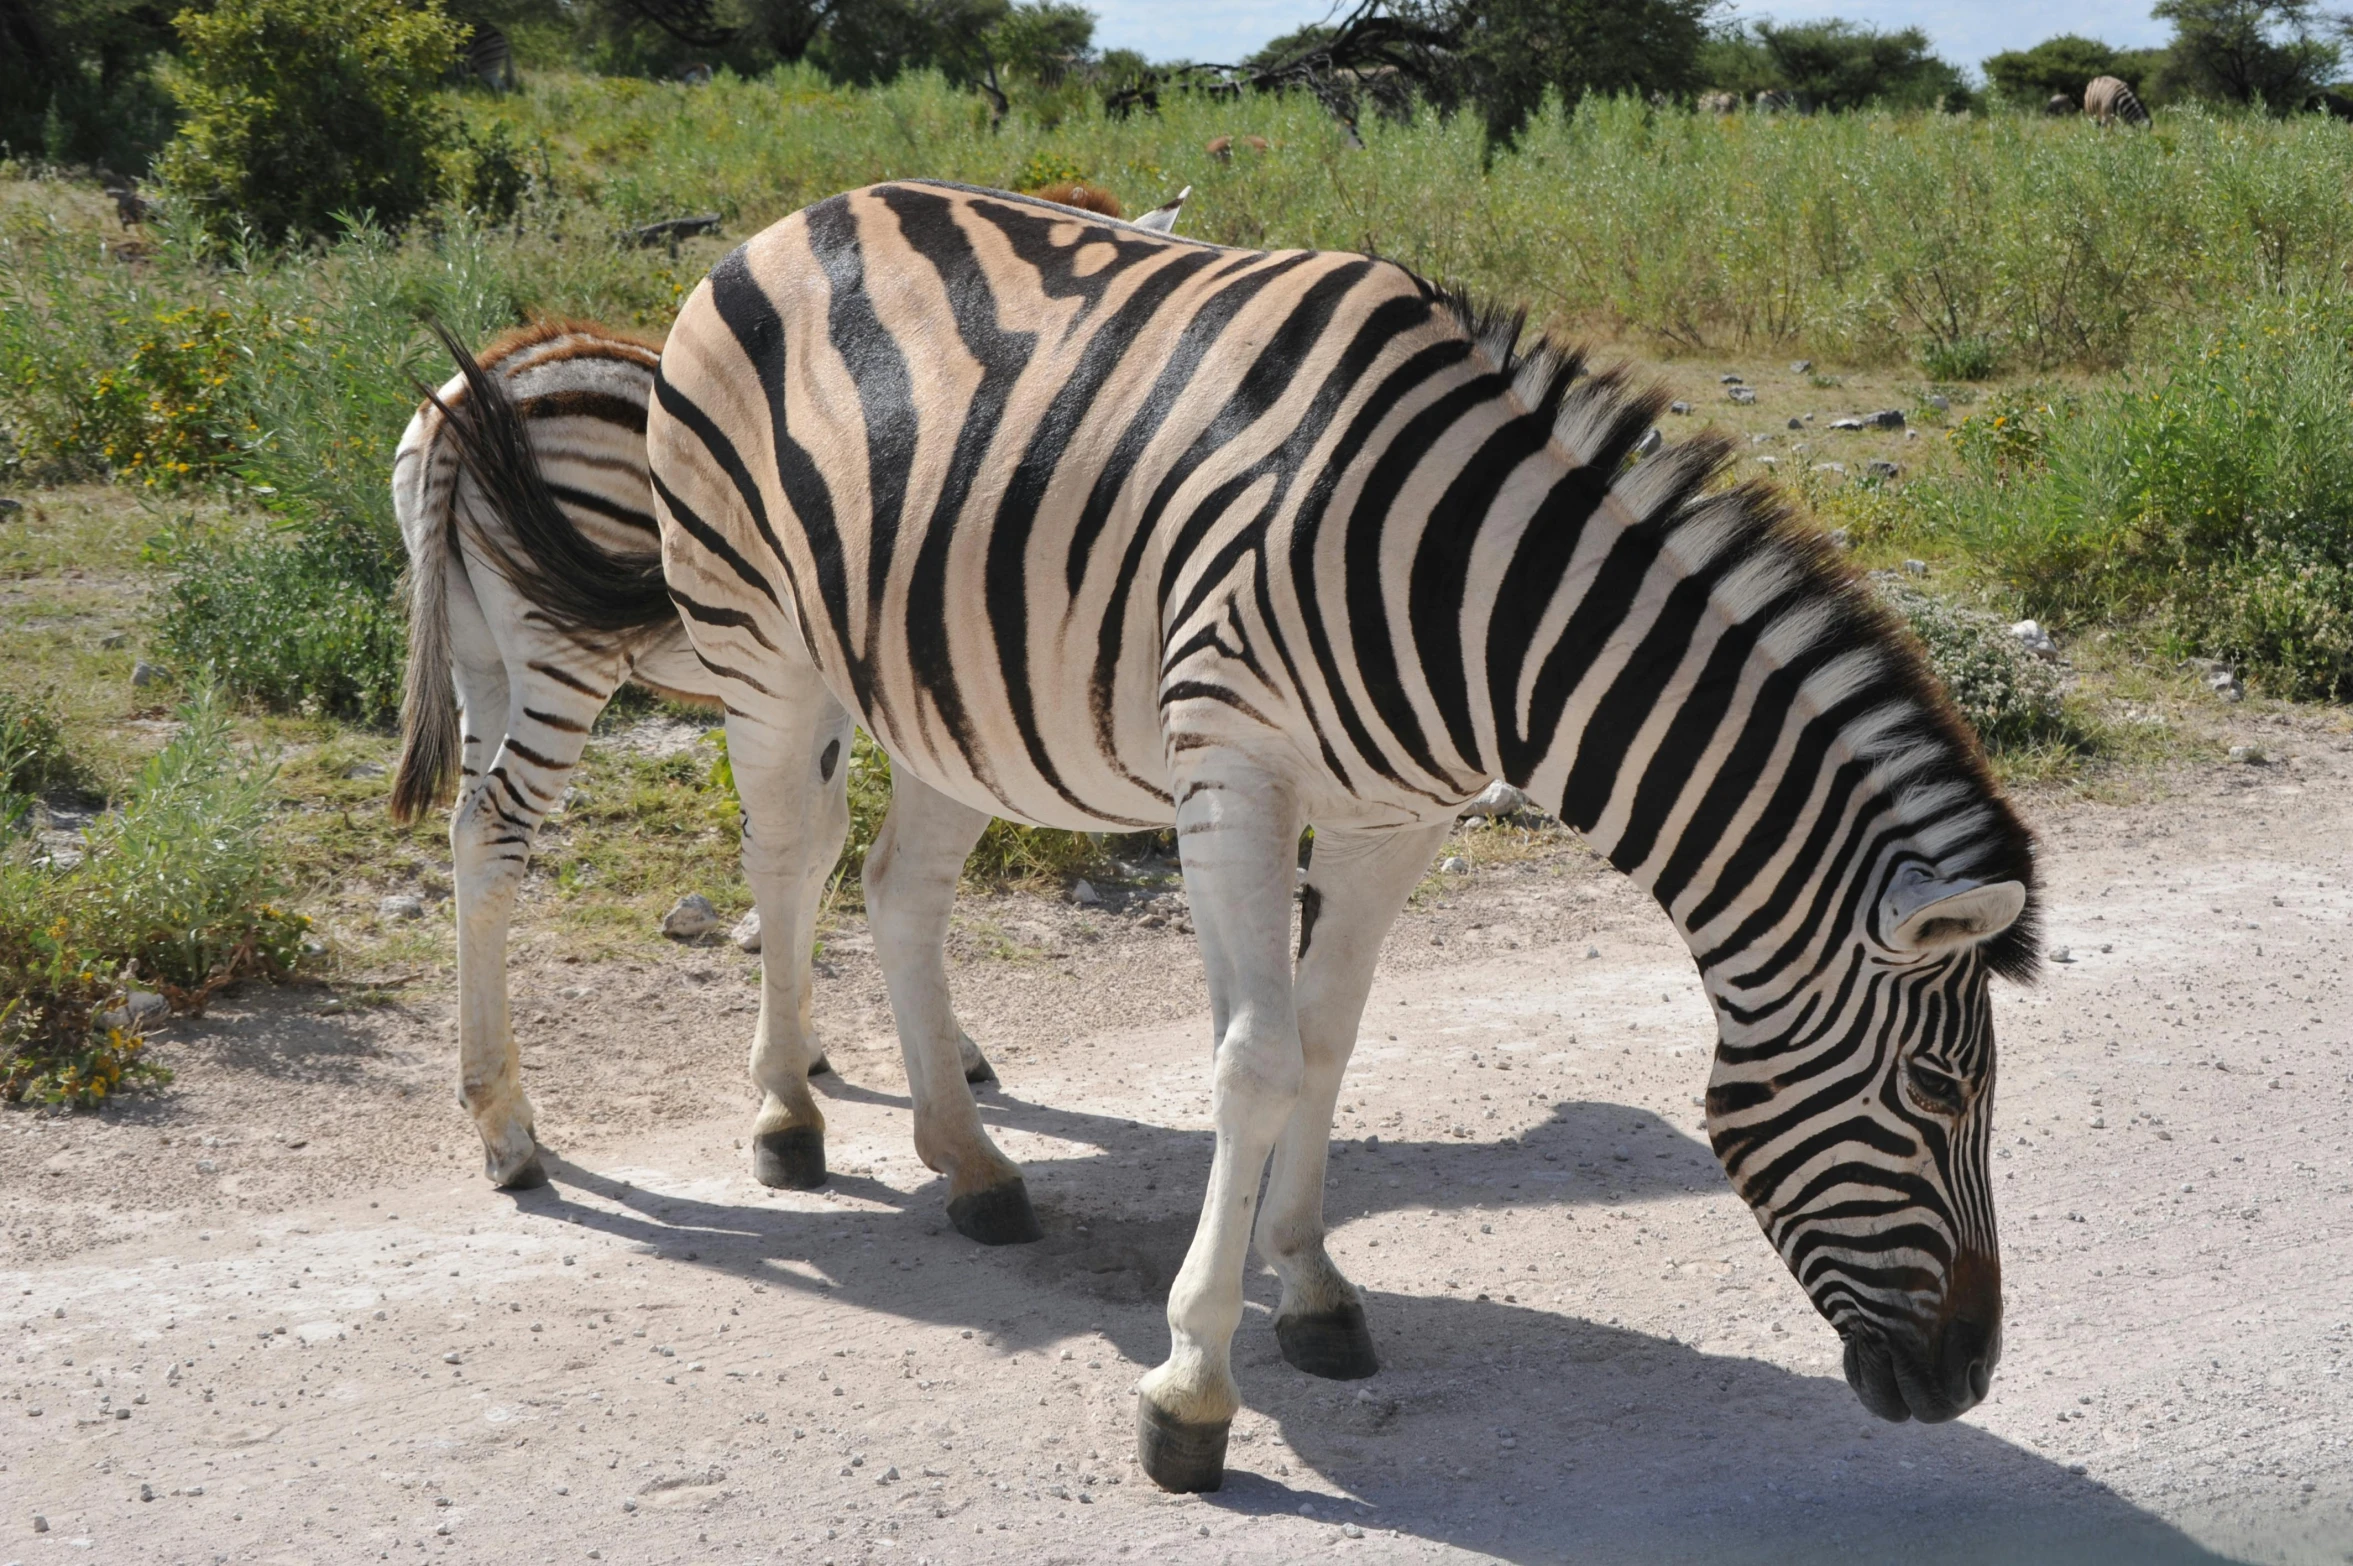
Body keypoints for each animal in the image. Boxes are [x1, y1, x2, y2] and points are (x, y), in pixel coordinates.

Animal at [390, 322, 997, 1189]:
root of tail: (484, 386)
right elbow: (822, 850)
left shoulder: (813, 694)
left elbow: (815, 843)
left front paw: (802, 1049)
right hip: (564, 651)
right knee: (493, 829)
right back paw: (502, 1127)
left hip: (479, 659)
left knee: (468, 833)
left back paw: (503, 1106)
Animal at [477, 183, 2042, 1486]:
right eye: (1937, 1093)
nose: (1967, 1376)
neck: (1473, 600)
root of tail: (799, 216)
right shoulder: (1230, 770)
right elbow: (1255, 1062)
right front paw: (1191, 1388)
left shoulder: (1396, 816)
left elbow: (1330, 1042)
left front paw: (1311, 1288)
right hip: (759, 634)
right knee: (787, 861)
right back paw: (761, 1119)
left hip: (945, 680)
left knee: (898, 887)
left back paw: (969, 1162)